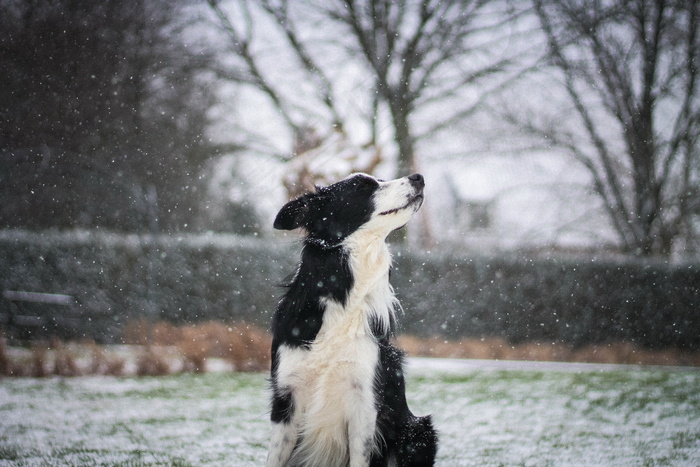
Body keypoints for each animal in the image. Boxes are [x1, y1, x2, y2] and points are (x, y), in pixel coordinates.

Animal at [266, 174, 434, 466]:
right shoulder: (286, 398)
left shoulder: (364, 403)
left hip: (419, 431)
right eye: (363, 187)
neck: (342, 298)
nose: (418, 177)